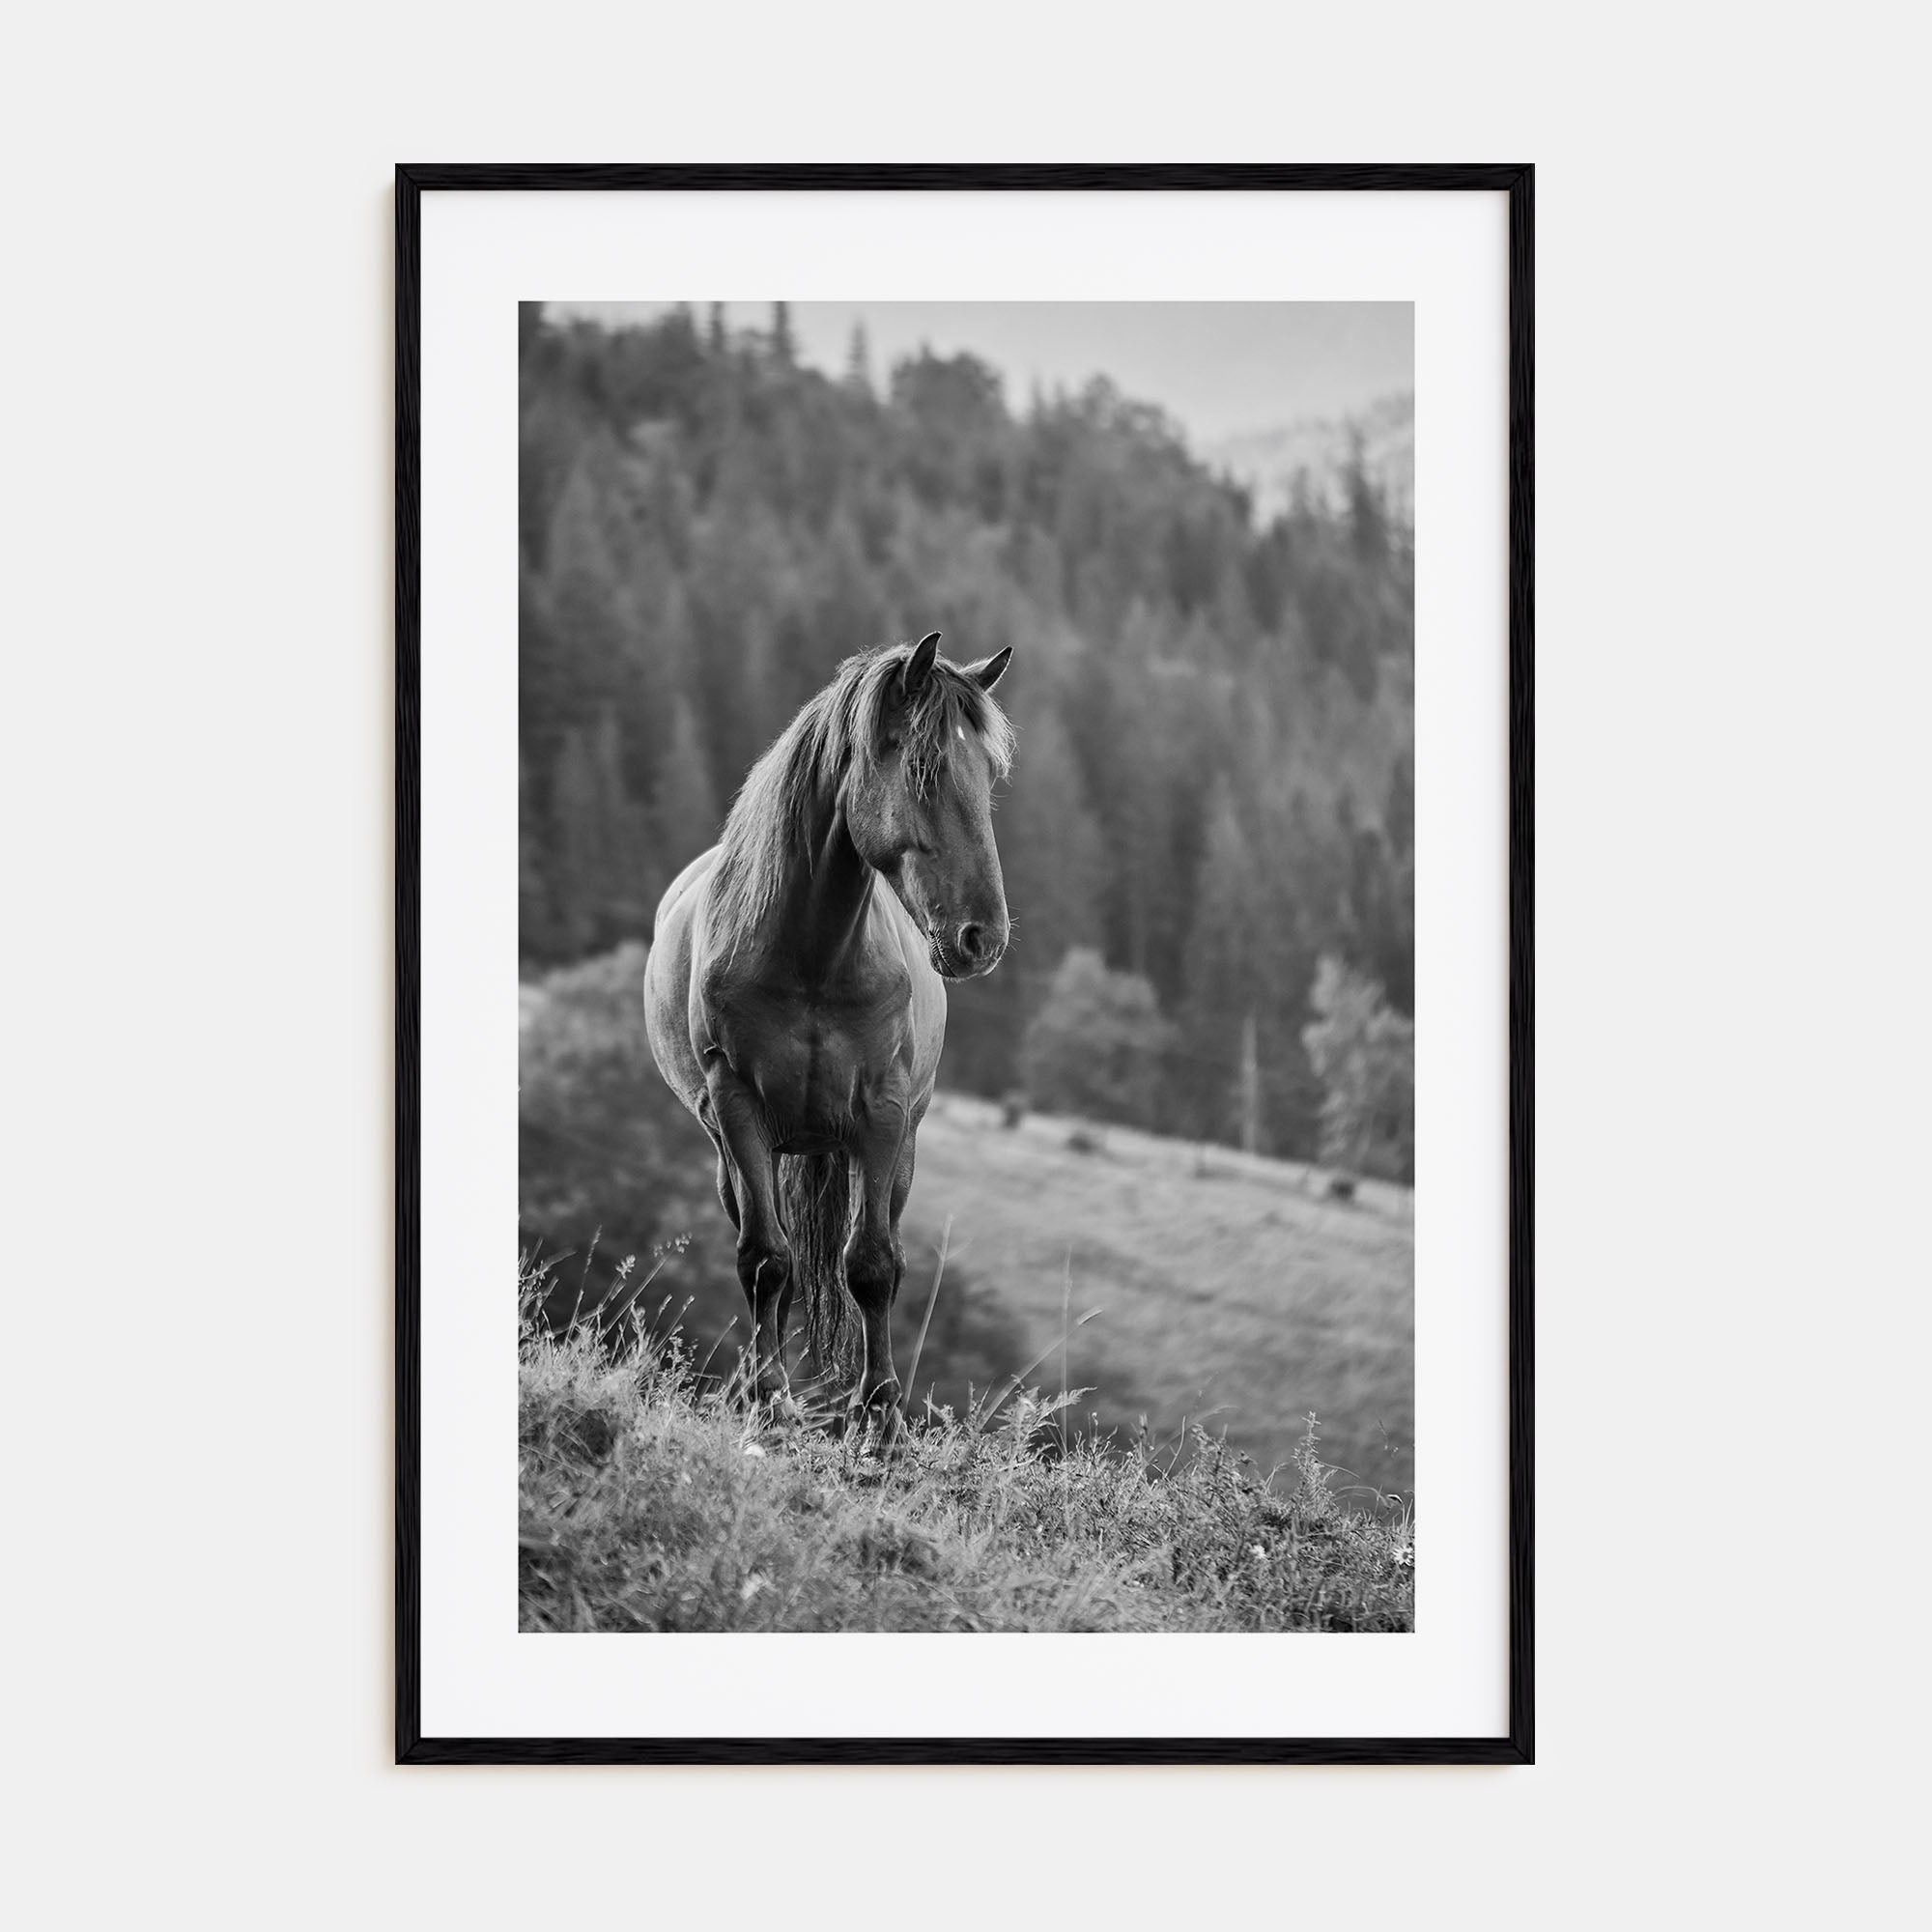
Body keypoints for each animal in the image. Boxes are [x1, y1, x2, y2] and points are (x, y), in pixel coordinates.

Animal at [642, 633, 1015, 1447]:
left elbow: (872, 1265)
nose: (983, 938)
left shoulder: (882, 1115)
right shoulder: (738, 1108)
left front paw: (880, 1417)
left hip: (893, 1149)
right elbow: (766, 1260)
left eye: (990, 775)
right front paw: (769, 1399)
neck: (810, 954)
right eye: (925, 768)